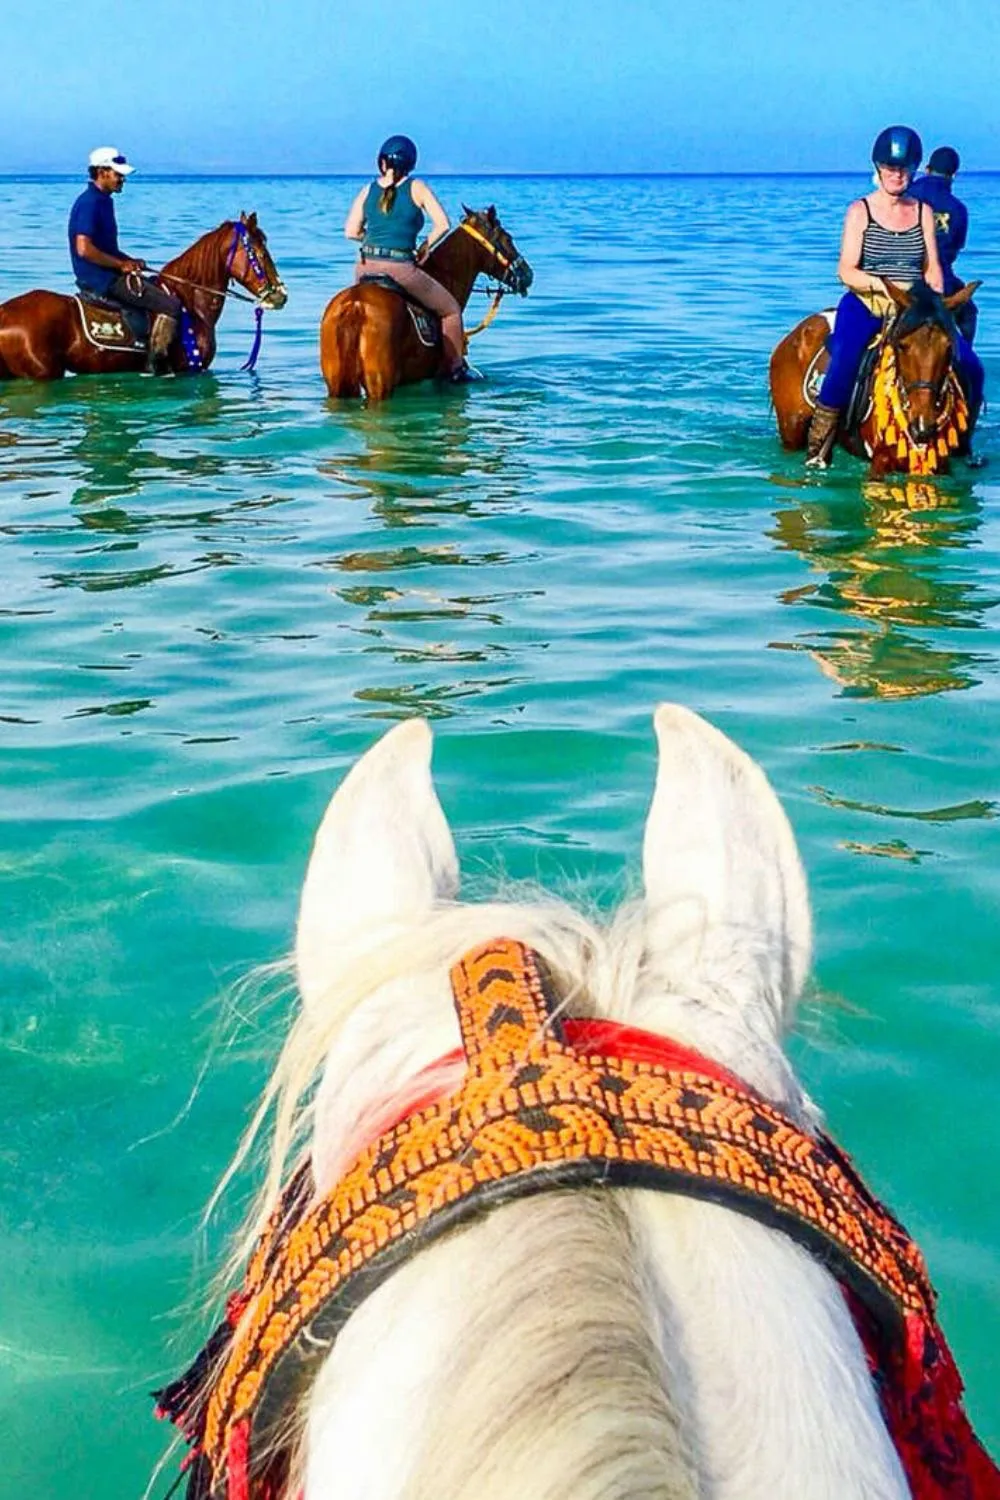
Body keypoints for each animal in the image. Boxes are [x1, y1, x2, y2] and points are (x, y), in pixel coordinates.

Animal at [319, 206, 533, 401]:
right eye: (508, 239)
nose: (528, 274)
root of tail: (355, 305)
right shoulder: (441, 380)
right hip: (379, 384)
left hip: (338, 383)